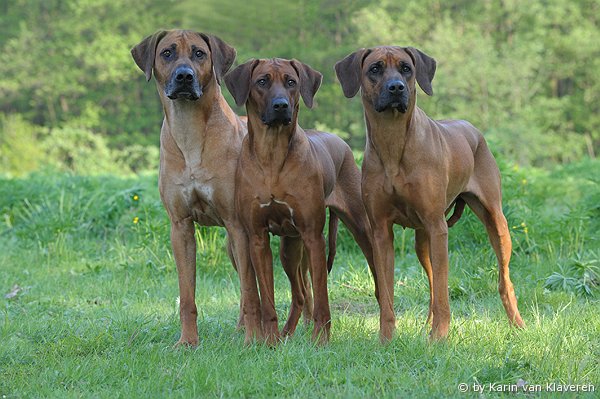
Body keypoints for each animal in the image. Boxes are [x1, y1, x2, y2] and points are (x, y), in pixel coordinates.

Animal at [225, 57, 376, 346]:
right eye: (262, 81)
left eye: (291, 82)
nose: (281, 105)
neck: (272, 154)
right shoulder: (257, 238)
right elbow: (268, 299)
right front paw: (269, 342)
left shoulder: (313, 236)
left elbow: (322, 297)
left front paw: (320, 340)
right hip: (289, 249)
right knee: (299, 294)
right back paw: (285, 334)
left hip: (360, 228)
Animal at [336, 46, 528, 340]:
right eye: (375, 69)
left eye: (406, 68)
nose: (396, 88)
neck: (393, 142)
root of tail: (473, 128)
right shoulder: (380, 231)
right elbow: (387, 294)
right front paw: (386, 339)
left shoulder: (438, 227)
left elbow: (442, 291)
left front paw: (439, 338)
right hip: (422, 239)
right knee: (432, 282)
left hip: (494, 222)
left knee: (502, 279)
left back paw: (517, 323)